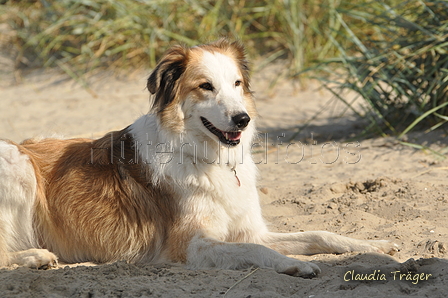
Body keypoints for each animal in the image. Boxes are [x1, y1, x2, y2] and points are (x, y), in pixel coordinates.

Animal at [0, 39, 400, 278]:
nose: (243, 119)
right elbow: (258, 251)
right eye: (205, 86)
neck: (209, 157)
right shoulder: (190, 245)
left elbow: (319, 233)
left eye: (237, 84)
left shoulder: (250, 230)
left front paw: (374, 248)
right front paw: (292, 265)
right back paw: (35, 257)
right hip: (17, 163)